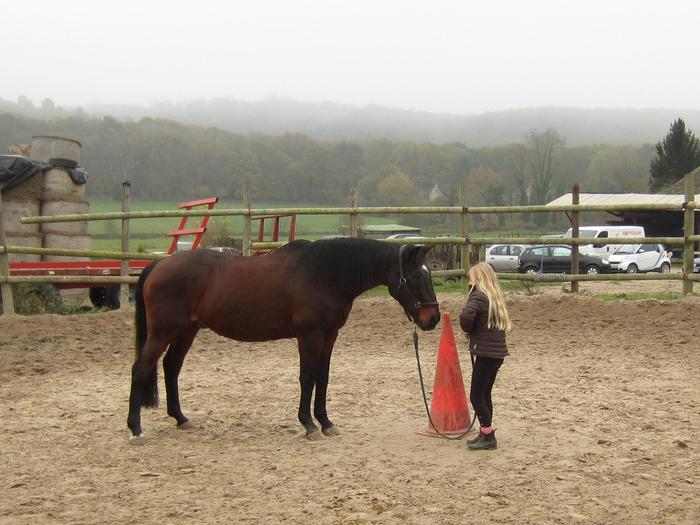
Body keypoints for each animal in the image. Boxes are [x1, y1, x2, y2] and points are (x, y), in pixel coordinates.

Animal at [129, 239, 440, 440]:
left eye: (428, 273)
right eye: (414, 275)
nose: (433, 319)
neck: (323, 274)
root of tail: (159, 264)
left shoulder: (330, 335)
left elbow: (322, 377)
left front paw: (326, 422)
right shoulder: (309, 335)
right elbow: (307, 377)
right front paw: (309, 425)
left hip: (186, 331)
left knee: (171, 368)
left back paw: (180, 418)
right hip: (162, 333)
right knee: (141, 370)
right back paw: (135, 429)